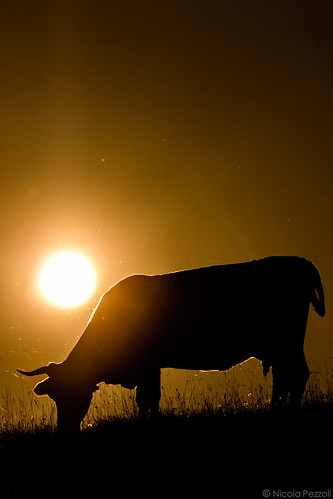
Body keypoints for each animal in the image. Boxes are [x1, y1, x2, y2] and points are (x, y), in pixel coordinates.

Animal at [17, 256, 324, 432]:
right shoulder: (150, 369)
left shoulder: (148, 366)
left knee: (297, 375)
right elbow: (149, 400)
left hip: (287, 341)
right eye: (55, 396)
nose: (64, 431)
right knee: (284, 378)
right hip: (279, 346)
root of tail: (302, 263)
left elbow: (147, 399)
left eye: (70, 393)